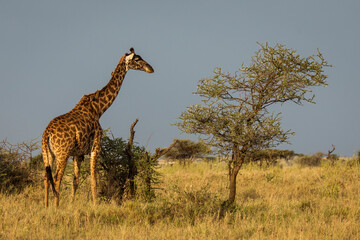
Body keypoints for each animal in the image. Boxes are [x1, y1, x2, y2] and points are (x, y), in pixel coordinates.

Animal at [41, 47, 153, 207]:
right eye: (137, 59)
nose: (151, 69)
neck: (99, 108)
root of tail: (47, 134)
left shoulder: (78, 153)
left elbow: (75, 182)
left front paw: (71, 205)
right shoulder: (96, 146)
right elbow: (94, 179)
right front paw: (95, 204)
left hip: (47, 154)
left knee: (46, 178)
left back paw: (46, 207)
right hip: (62, 153)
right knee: (56, 179)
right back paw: (55, 208)